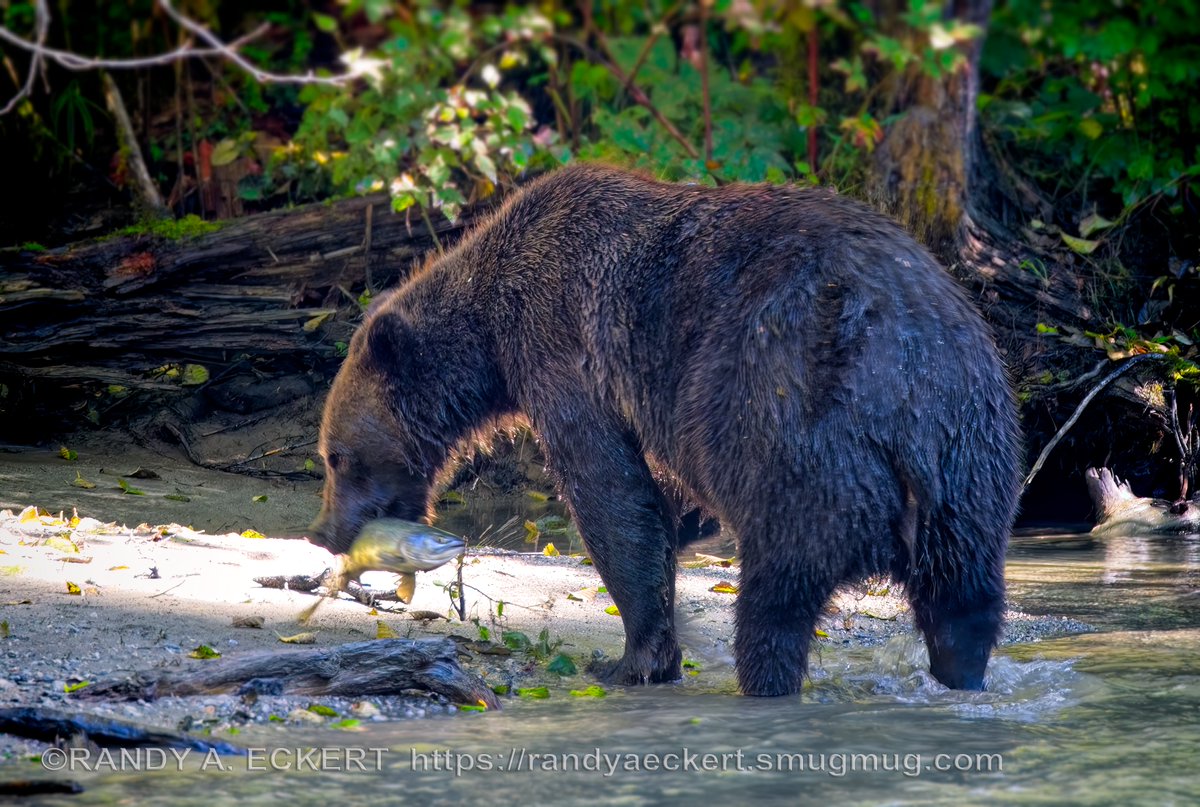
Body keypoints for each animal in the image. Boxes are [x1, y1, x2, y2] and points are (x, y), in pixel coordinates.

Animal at [304, 162, 1017, 691]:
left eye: (336, 456)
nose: (324, 532)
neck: (492, 333)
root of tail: (902, 396)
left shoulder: (563, 344)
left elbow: (611, 495)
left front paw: (631, 658)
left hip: (796, 431)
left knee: (774, 598)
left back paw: (764, 677)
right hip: (971, 456)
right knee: (964, 604)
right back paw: (961, 674)